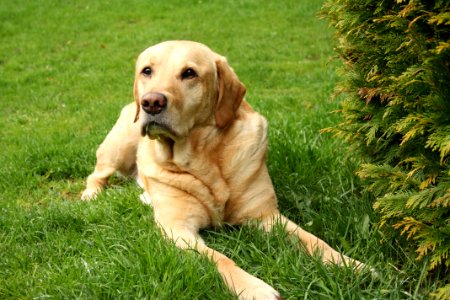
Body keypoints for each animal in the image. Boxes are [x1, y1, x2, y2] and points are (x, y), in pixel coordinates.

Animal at [82, 40, 368, 300]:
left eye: (189, 73)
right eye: (147, 71)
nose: (151, 102)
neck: (202, 158)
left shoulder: (266, 216)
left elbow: (313, 240)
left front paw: (350, 264)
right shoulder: (178, 229)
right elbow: (219, 259)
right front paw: (254, 288)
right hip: (120, 146)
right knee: (96, 175)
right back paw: (91, 195)